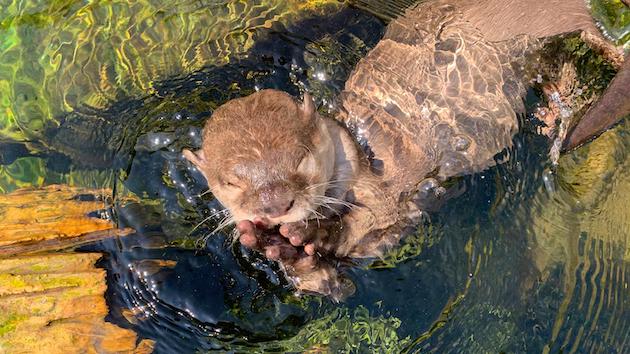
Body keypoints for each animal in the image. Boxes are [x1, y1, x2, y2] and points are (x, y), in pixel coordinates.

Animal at [183, 0, 628, 298]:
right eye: (231, 183)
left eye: (301, 159)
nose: (275, 205)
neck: (356, 150)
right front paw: (286, 253)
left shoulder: (386, 185)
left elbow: (373, 219)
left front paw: (318, 233)